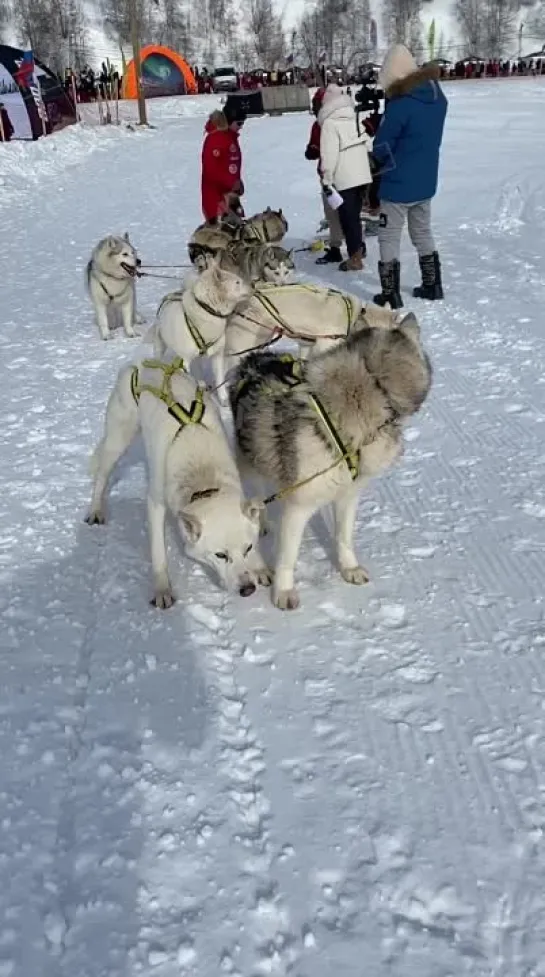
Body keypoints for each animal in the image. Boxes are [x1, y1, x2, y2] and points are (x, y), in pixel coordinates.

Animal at [85, 354, 270, 608]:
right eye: (221, 555)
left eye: (248, 548)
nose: (247, 589)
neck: (203, 478)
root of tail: (146, 361)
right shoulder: (155, 504)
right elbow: (158, 553)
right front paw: (163, 589)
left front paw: (259, 567)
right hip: (118, 439)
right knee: (102, 476)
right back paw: (96, 510)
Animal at [227, 316, 432, 608]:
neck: (371, 383)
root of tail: (254, 359)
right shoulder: (299, 507)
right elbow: (287, 557)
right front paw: (283, 592)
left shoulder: (348, 494)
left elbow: (343, 537)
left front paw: (349, 568)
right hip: (249, 463)